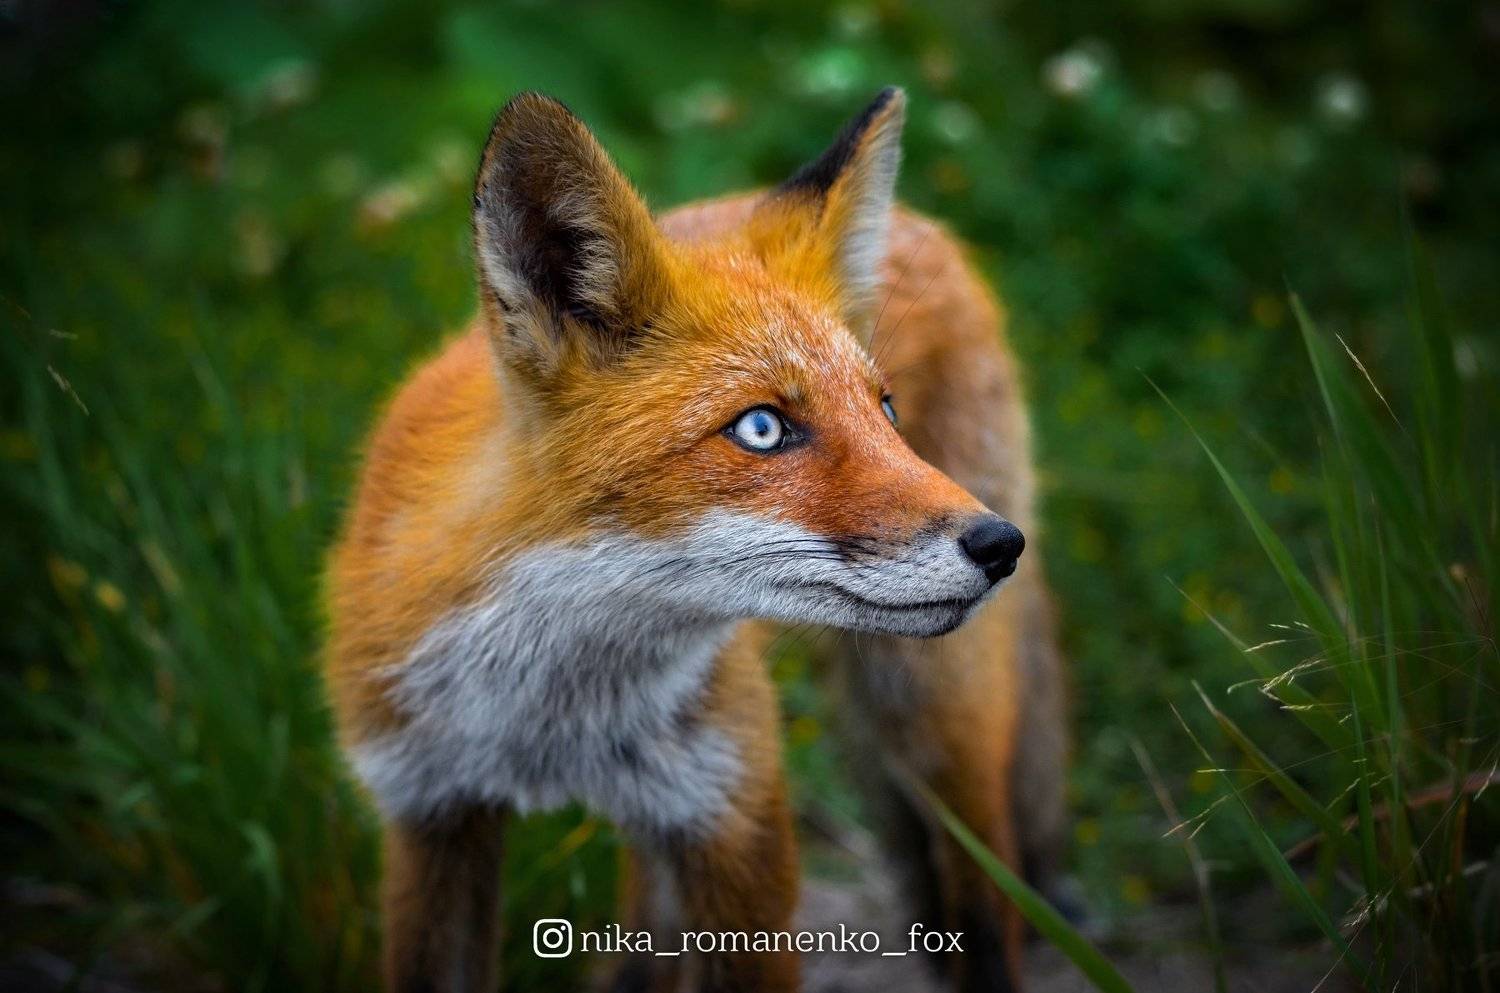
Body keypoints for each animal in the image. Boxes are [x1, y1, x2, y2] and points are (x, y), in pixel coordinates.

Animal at [325, 86, 1069, 993]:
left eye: (884, 409)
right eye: (761, 428)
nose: (1001, 544)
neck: (547, 722)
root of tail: (929, 223)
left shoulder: (736, 816)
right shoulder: (428, 811)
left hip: (928, 709)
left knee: (986, 882)